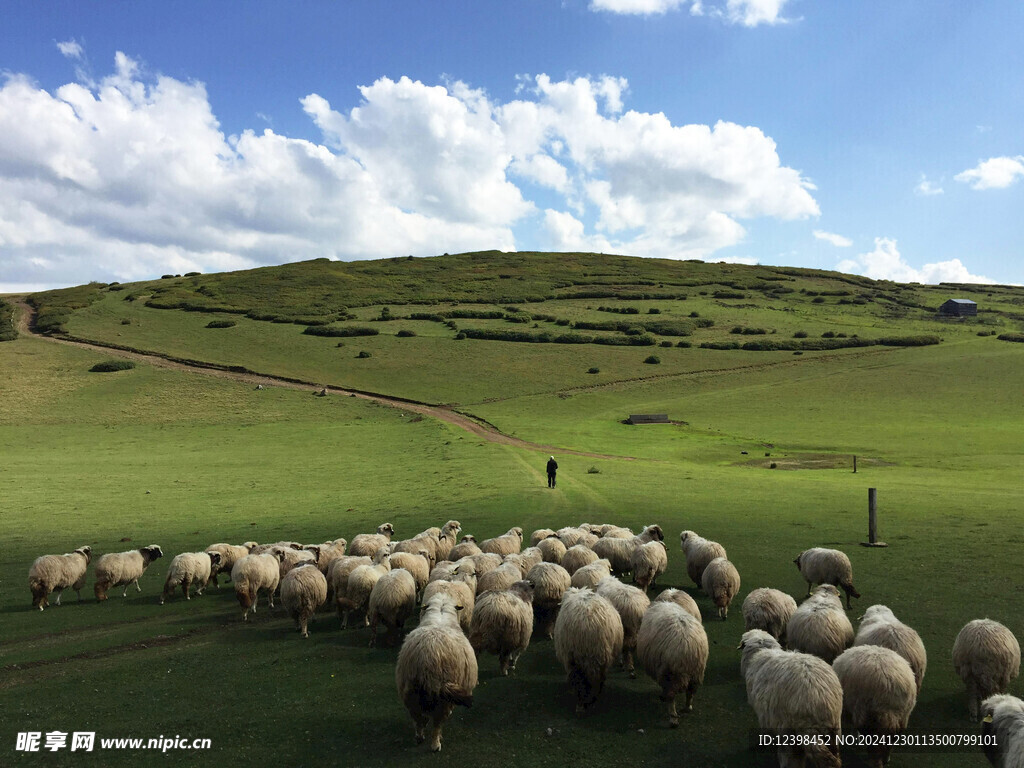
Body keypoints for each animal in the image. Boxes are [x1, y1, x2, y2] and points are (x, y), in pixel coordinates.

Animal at [397, 593, 481, 753]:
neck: (441, 615)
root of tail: (429, 659)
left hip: (410, 690)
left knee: (417, 717)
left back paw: (419, 736)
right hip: (443, 698)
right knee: (437, 722)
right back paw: (436, 745)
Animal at [741, 630, 843, 768]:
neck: (761, 652)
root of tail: (818, 699)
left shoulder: (764, 715)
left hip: (789, 729)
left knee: (791, 757)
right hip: (833, 729)